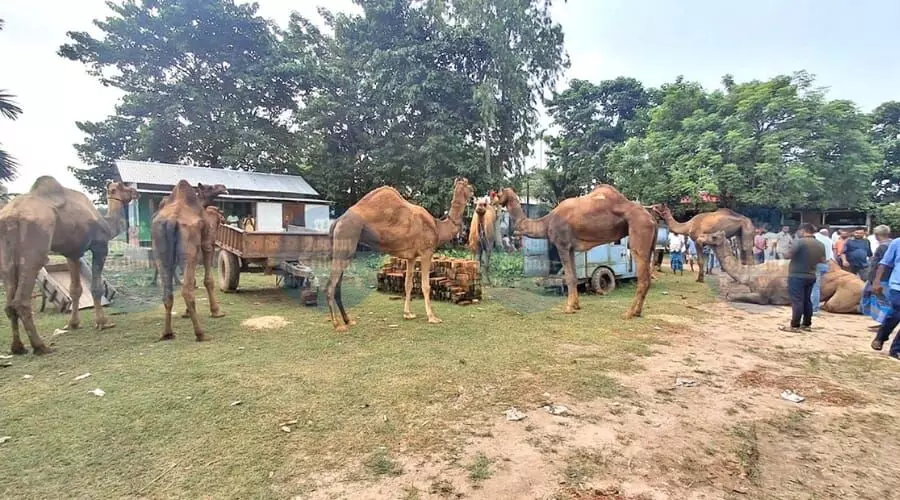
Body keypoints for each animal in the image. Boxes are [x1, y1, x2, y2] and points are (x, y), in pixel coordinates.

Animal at [0, 177, 138, 355]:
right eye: (124, 187)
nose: (136, 191)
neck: (107, 224)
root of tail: (11, 215)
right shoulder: (100, 246)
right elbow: (96, 287)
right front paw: (102, 322)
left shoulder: (72, 253)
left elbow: (75, 290)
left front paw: (73, 324)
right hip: (34, 248)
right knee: (21, 300)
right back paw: (41, 346)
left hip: (6, 256)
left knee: (9, 302)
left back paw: (18, 348)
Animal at [151, 180, 227, 342]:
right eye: (210, 187)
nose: (224, 187)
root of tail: (172, 221)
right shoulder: (206, 244)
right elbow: (208, 280)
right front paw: (217, 312)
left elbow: (193, 281)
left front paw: (186, 313)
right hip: (188, 248)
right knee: (186, 291)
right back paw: (201, 334)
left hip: (160, 249)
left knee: (168, 291)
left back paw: (167, 333)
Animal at [327, 177, 474, 331]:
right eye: (470, 187)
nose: (474, 196)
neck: (438, 227)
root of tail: (337, 221)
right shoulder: (426, 252)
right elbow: (425, 285)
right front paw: (432, 317)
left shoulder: (411, 257)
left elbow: (408, 283)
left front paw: (408, 314)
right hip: (346, 240)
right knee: (331, 285)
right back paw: (337, 324)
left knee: (337, 285)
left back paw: (348, 320)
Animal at [493, 185, 657, 318]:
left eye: (496, 194)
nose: (492, 203)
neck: (546, 222)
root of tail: (652, 220)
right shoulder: (571, 248)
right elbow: (575, 277)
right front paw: (576, 305)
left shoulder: (562, 245)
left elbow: (570, 277)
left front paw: (568, 307)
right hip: (649, 246)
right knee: (647, 278)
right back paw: (637, 312)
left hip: (639, 233)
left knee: (642, 279)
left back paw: (628, 313)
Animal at [697, 231, 863, 312]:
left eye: (714, 236)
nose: (699, 238)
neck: (750, 273)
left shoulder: (763, 296)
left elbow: (730, 295)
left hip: (848, 290)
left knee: (832, 305)